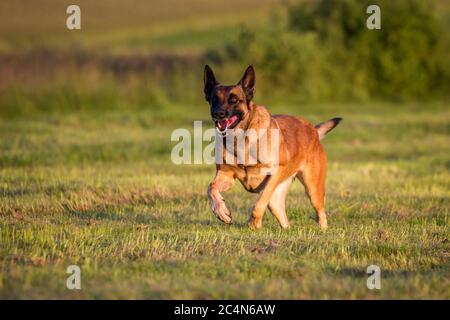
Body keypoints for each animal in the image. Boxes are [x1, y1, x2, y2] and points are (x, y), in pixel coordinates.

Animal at [205, 65, 342, 230]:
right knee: (278, 210)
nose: (218, 113)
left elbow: (260, 200)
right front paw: (221, 211)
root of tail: (313, 130)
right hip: (279, 194)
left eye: (234, 100)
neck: (241, 139)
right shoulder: (226, 176)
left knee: (320, 212)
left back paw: (322, 229)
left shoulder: (274, 173)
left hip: (313, 189)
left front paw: (254, 222)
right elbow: (211, 188)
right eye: (214, 99)